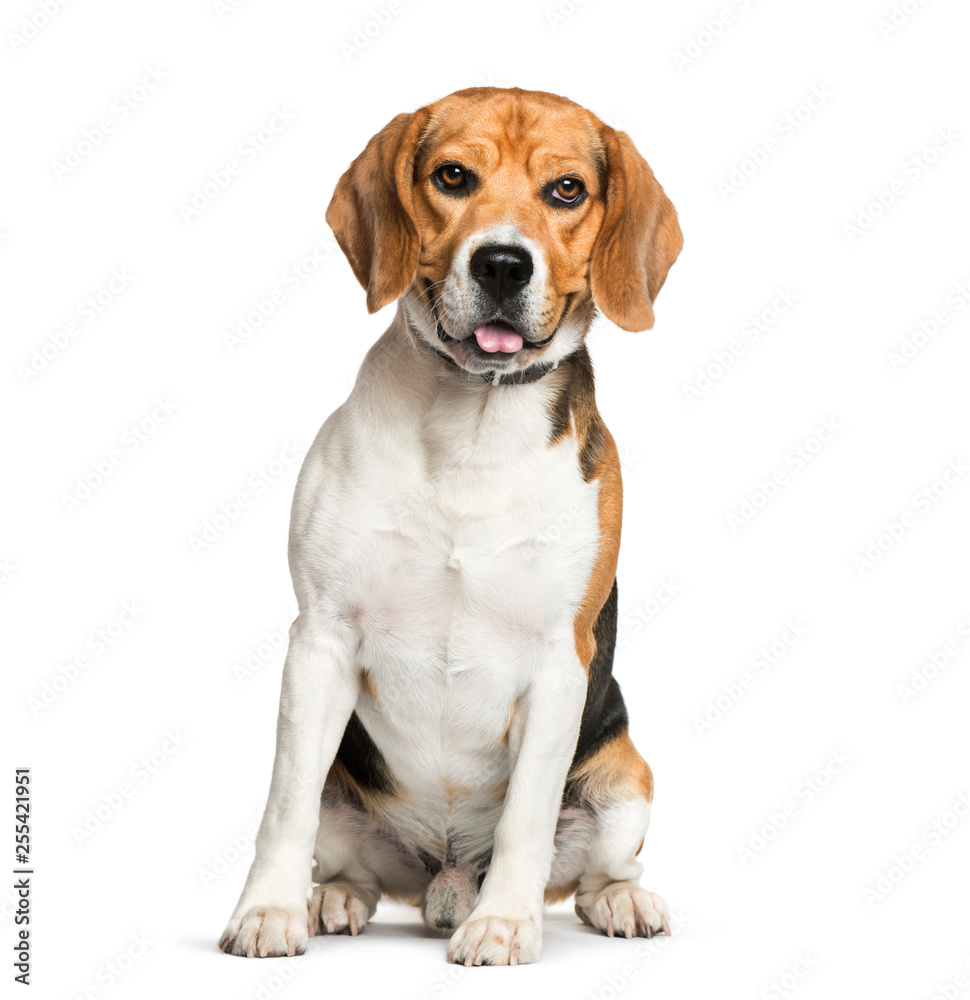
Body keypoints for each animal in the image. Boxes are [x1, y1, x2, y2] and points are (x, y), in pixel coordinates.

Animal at [221, 88, 680, 968]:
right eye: (453, 177)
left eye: (566, 190)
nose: (501, 263)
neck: (474, 418)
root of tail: (444, 875)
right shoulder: (321, 639)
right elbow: (284, 804)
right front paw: (268, 911)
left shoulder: (558, 662)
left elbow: (526, 818)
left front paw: (503, 927)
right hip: (349, 793)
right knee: (347, 856)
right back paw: (332, 897)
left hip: (625, 778)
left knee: (600, 867)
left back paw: (617, 902)